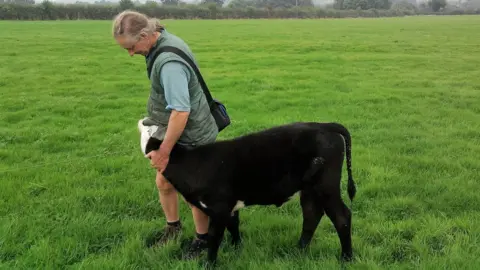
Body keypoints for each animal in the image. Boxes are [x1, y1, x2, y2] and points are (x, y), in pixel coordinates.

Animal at [139, 122, 356, 266]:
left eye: (150, 129)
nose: (142, 120)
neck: (193, 163)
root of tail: (324, 125)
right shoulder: (230, 205)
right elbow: (234, 225)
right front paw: (237, 249)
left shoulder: (219, 207)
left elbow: (214, 237)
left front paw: (209, 264)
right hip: (310, 189)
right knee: (312, 214)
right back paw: (299, 251)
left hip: (327, 186)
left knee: (341, 217)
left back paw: (346, 258)